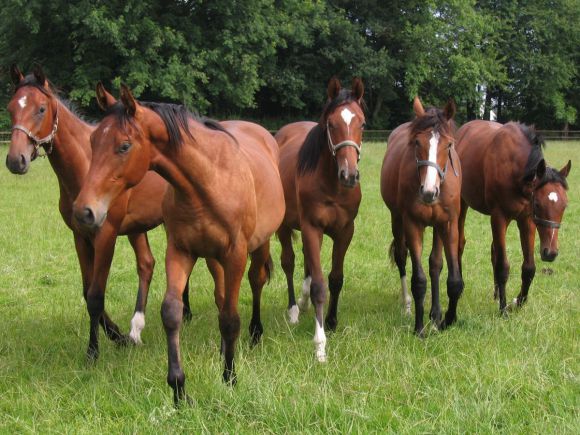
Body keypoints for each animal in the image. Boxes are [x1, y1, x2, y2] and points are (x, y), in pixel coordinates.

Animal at [72, 84, 286, 406]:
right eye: (93, 141)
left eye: (124, 146)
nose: (84, 211)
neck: (208, 181)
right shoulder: (180, 251)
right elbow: (172, 312)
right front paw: (178, 388)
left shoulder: (235, 255)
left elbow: (230, 318)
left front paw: (229, 378)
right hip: (212, 259)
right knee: (221, 296)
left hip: (257, 247)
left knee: (256, 281)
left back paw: (255, 334)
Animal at [276, 76, 362, 362]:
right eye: (331, 124)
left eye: (362, 123)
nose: (349, 175)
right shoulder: (312, 228)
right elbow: (320, 287)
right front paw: (320, 345)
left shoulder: (345, 231)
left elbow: (335, 278)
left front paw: (332, 321)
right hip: (285, 227)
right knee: (289, 262)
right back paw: (294, 309)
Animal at [380, 97, 462, 336]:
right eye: (417, 143)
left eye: (449, 145)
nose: (428, 192)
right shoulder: (412, 223)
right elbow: (418, 280)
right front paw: (419, 329)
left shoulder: (449, 224)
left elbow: (453, 279)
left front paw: (446, 320)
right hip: (397, 220)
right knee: (401, 257)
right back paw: (408, 306)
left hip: (437, 227)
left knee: (435, 263)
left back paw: (434, 315)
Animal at [458, 122, 572, 314]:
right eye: (538, 204)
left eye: (564, 205)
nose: (550, 253)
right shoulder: (499, 217)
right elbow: (503, 266)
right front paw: (504, 309)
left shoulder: (527, 220)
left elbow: (529, 268)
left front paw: (518, 302)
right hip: (461, 204)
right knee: (459, 243)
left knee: (494, 251)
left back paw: (496, 294)